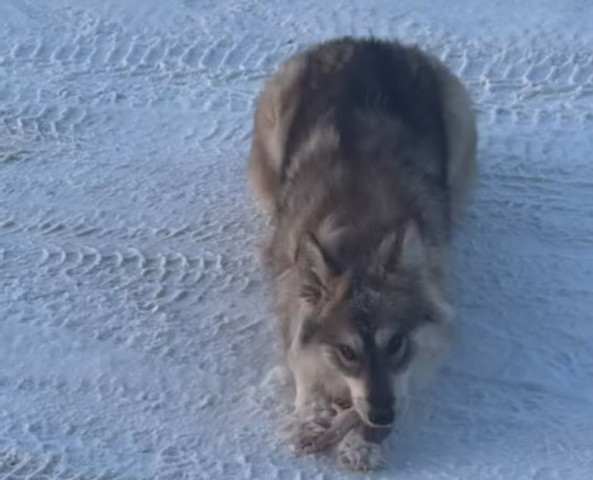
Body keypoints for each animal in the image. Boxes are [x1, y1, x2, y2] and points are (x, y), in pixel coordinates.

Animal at [246, 35, 476, 470]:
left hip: (459, 119)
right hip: (272, 124)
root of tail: (368, 40)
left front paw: (363, 444)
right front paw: (313, 418)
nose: (381, 415)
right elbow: (304, 367)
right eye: (347, 352)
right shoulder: (292, 306)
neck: (360, 236)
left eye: (396, 344)